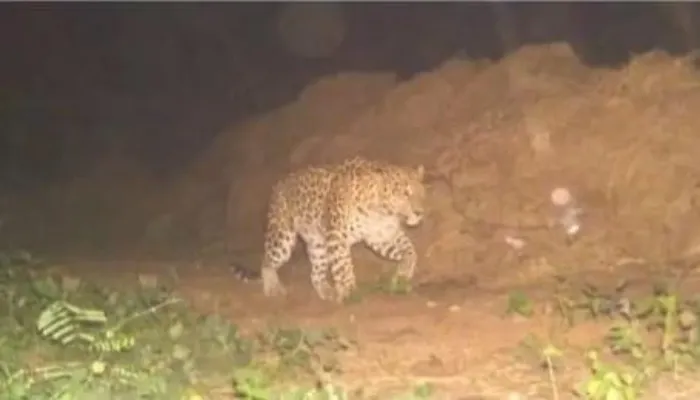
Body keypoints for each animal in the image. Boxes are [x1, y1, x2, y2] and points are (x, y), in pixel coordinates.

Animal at [234, 156, 427, 303]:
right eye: (405, 194)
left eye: (422, 192)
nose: (420, 212)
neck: (382, 212)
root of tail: (278, 185)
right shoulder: (337, 236)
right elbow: (343, 266)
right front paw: (351, 292)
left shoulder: (380, 235)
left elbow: (410, 250)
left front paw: (403, 273)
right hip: (283, 238)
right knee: (267, 261)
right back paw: (272, 287)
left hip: (318, 244)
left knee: (315, 274)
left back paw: (328, 292)